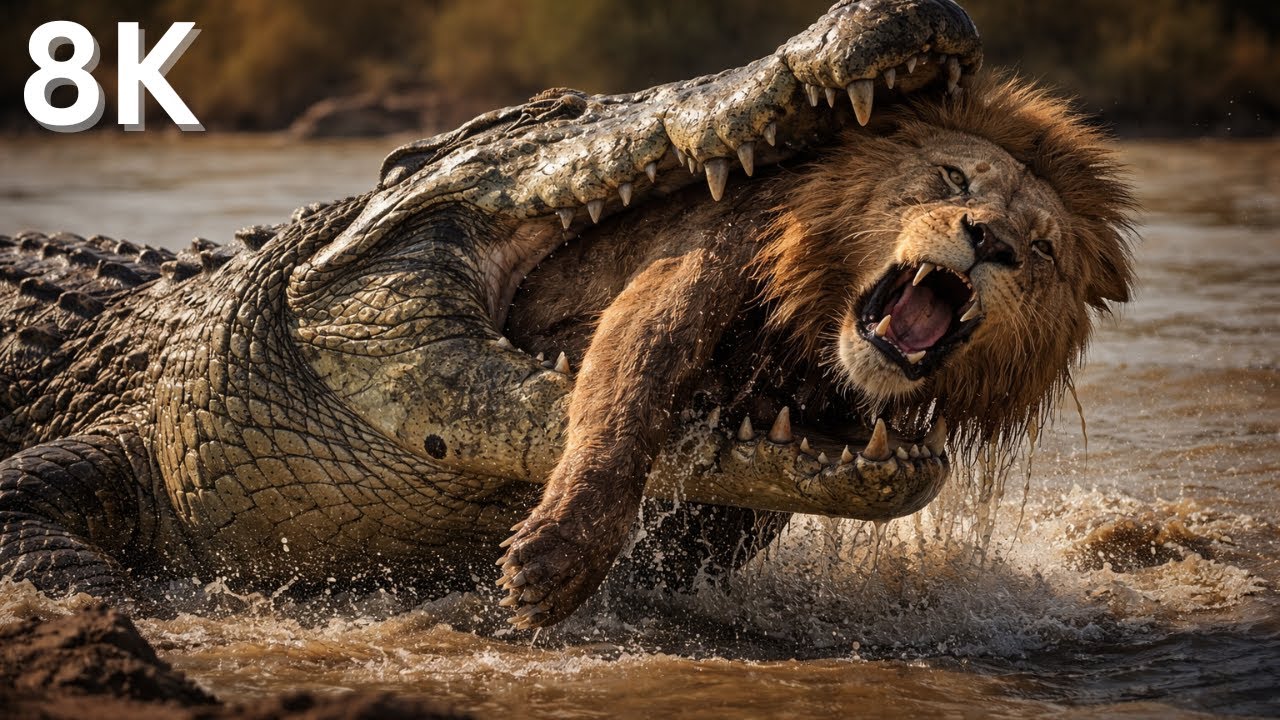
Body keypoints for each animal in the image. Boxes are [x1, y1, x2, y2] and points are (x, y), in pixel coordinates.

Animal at [498, 72, 1136, 626]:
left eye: (1042, 247)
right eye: (955, 178)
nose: (992, 241)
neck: (814, 327)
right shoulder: (708, 237)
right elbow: (628, 382)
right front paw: (561, 555)